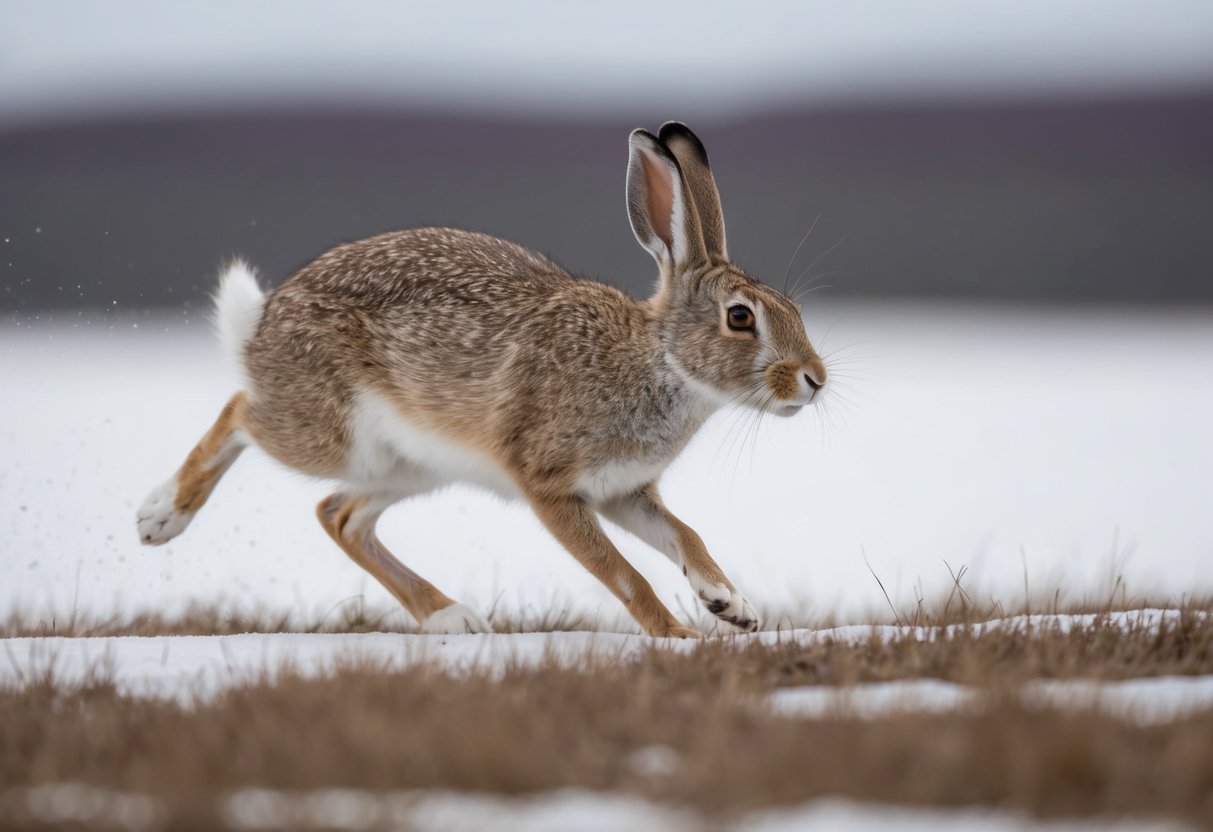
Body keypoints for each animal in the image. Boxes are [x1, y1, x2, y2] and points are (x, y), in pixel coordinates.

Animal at [136, 122, 828, 637]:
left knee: (340, 515)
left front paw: (730, 605)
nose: (815, 379)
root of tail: (260, 328)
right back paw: (160, 516)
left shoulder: (624, 491)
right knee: (241, 412)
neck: (657, 361)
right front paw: (678, 634)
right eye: (740, 318)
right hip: (330, 432)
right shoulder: (549, 485)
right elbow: (621, 573)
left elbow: (685, 534)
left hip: (411, 463)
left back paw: (452, 618)